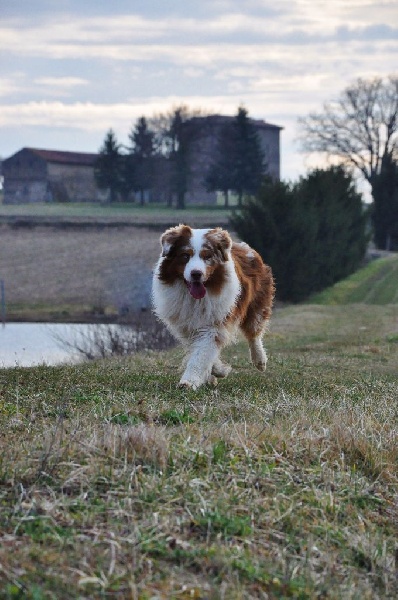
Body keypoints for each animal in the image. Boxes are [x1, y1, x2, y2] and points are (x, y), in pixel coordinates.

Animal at [152, 225, 274, 390]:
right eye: (185, 255)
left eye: (207, 257)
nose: (196, 273)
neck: (195, 298)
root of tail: (243, 246)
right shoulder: (186, 325)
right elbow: (201, 350)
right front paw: (217, 371)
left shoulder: (213, 323)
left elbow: (202, 352)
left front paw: (188, 382)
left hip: (257, 302)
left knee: (254, 331)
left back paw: (260, 360)